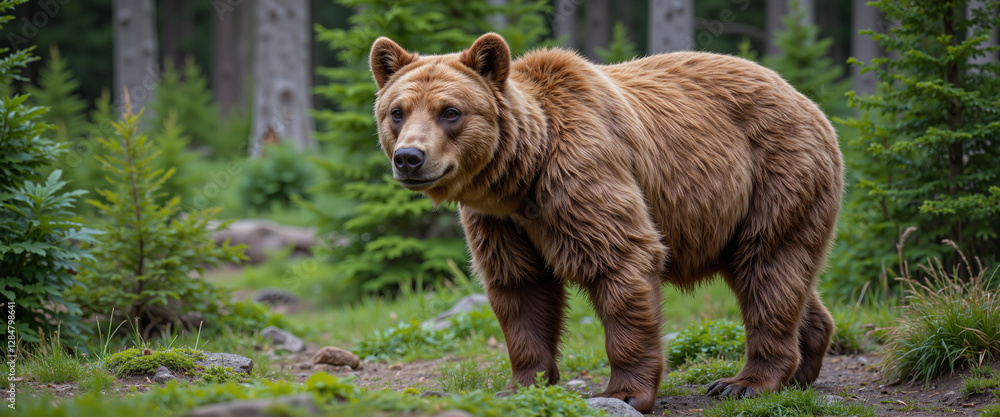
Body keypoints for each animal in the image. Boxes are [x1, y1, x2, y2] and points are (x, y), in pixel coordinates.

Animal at [368, 33, 842, 413]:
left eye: (450, 111)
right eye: (398, 111)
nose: (409, 157)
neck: (522, 178)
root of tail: (803, 96)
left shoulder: (582, 177)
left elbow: (620, 263)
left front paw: (625, 392)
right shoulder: (499, 224)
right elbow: (519, 292)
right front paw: (520, 385)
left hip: (774, 175)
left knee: (769, 268)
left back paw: (743, 383)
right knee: (783, 274)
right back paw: (804, 363)